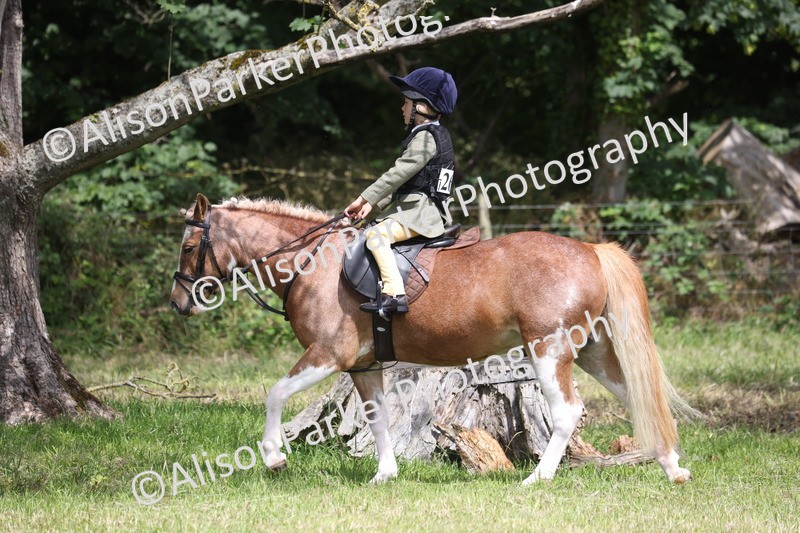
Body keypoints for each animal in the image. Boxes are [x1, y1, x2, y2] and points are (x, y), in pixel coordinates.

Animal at [170, 193, 697, 485]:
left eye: (190, 246)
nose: (178, 304)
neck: (312, 262)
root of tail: (590, 249)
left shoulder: (327, 355)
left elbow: (275, 394)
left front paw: (275, 458)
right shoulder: (364, 366)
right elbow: (379, 417)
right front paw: (384, 475)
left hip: (550, 351)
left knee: (567, 412)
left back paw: (538, 478)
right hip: (593, 352)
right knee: (637, 397)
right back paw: (672, 468)